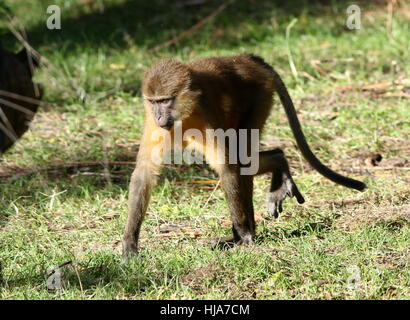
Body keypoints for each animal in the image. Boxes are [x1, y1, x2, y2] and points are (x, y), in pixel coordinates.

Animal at [121, 53, 366, 262]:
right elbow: (144, 173)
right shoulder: (153, 123)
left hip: (261, 95)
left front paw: (244, 235)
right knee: (246, 160)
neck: (185, 114)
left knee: (242, 157)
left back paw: (246, 229)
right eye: (153, 102)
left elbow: (228, 166)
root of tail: (245, 58)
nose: (159, 116)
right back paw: (277, 162)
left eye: (165, 101)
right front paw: (129, 245)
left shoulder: (206, 110)